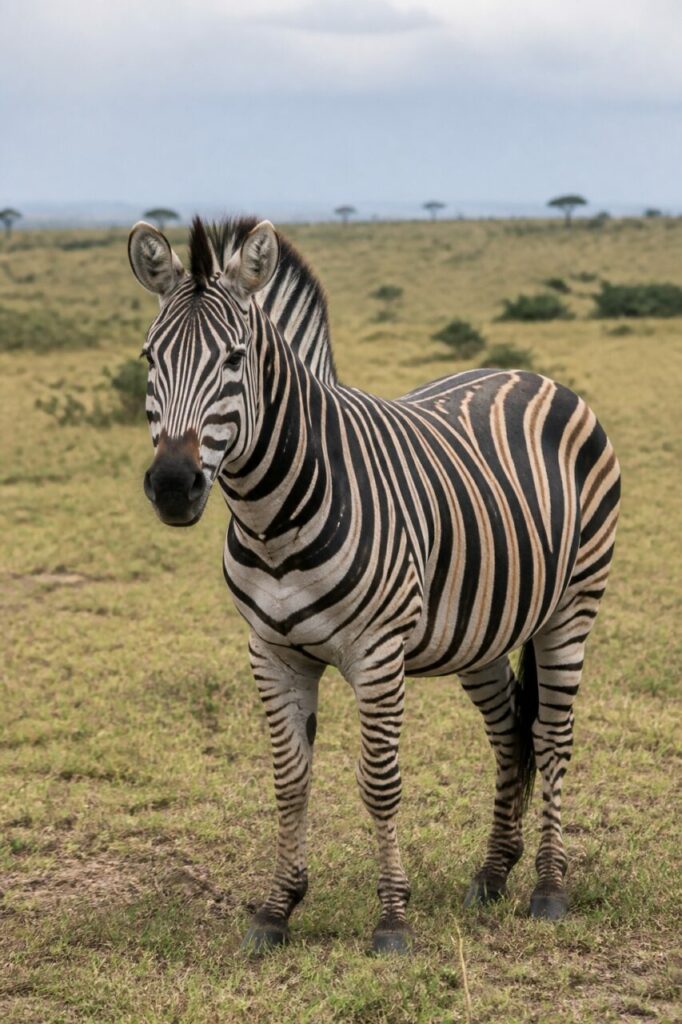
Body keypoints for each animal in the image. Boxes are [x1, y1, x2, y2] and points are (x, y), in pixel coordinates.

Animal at [128, 215, 620, 954]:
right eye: (149, 360)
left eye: (236, 360)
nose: (172, 486)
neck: (274, 517)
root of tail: (529, 373)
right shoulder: (271, 653)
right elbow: (290, 782)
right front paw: (276, 909)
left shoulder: (377, 654)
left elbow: (380, 784)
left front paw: (392, 919)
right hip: (478, 628)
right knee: (511, 733)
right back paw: (492, 874)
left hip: (572, 606)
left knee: (553, 737)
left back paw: (549, 886)